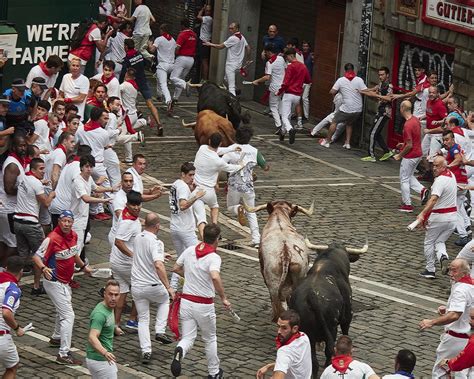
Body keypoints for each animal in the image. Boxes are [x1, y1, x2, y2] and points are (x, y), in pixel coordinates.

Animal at [286, 239, 368, 376]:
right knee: (328, 351)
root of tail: (312, 296)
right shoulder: (347, 315)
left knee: (313, 361)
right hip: (331, 327)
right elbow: (345, 332)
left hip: (308, 333)